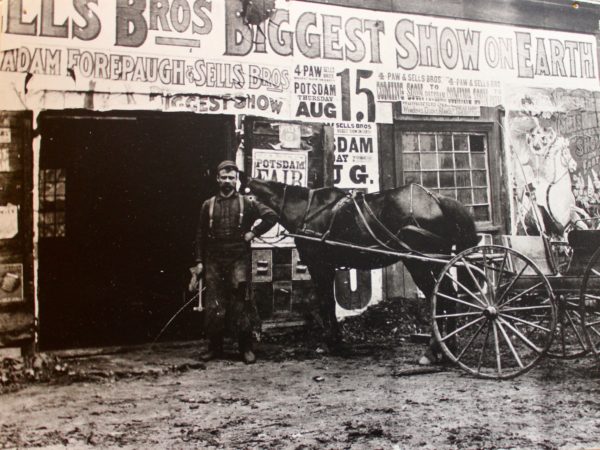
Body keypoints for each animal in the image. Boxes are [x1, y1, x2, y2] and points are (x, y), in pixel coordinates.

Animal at [245, 178, 478, 356]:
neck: (306, 210)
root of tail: (437, 199)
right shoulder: (327, 267)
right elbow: (329, 302)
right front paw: (336, 340)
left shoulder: (319, 266)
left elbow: (326, 302)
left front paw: (330, 342)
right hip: (435, 261)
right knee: (447, 295)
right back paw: (448, 346)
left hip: (419, 261)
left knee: (438, 297)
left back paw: (435, 349)